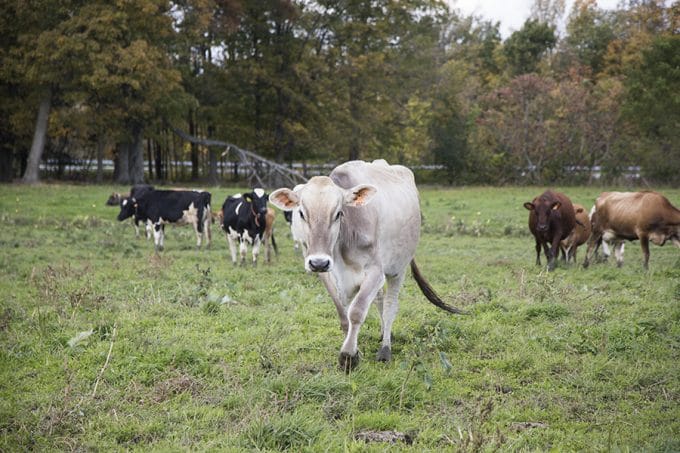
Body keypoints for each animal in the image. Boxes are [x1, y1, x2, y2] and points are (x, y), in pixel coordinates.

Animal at [266, 159, 462, 370]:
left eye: (339, 213)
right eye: (302, 213)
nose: (319, 262)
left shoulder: (376, 271)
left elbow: (357, 311)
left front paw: (348, 356)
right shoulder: (328, 275)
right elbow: (343, 314)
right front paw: (354, 349)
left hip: (398, 267)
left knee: (390, 305)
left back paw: (385, 348)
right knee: (379, 299)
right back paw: (384, 333)